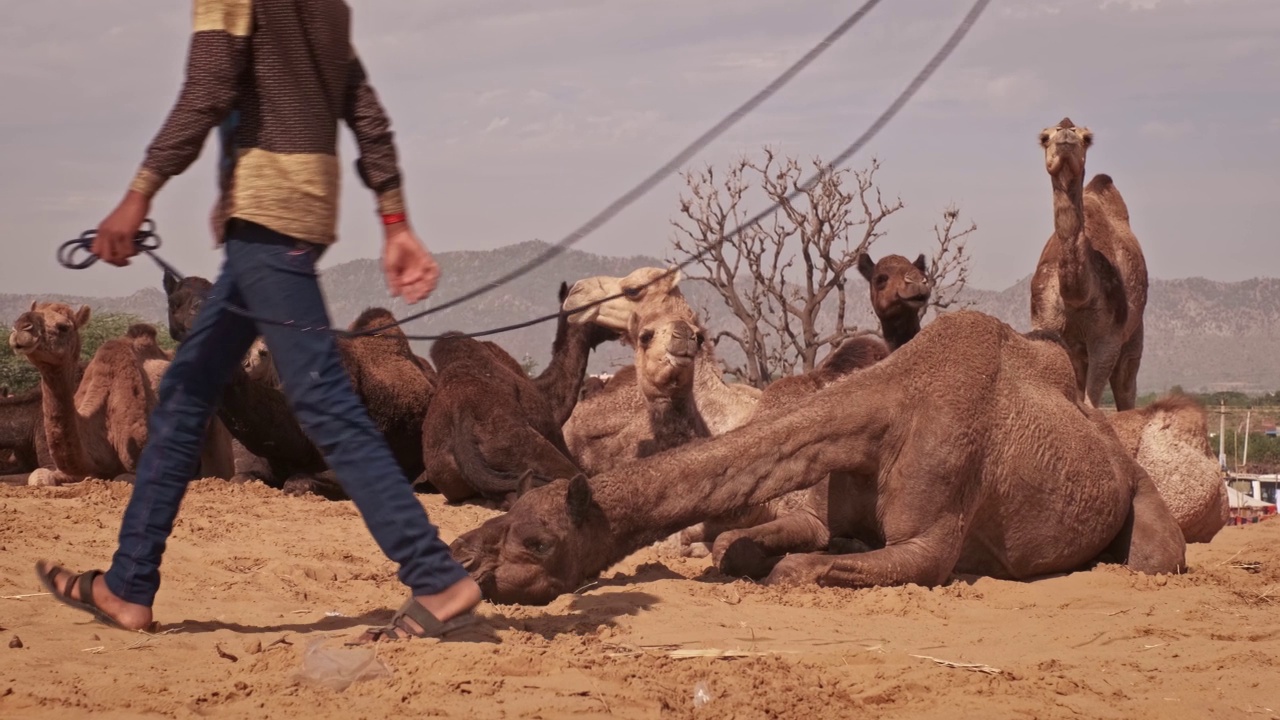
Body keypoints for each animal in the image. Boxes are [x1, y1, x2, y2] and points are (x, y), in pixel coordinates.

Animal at [445, 310, 1182, 604]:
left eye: (536, 542)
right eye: (497, 526)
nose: (468, 562)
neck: (886, 409)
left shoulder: (932, 528)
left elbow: (812, 568)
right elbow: (751, 546)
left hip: (1141, 497)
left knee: (1154, 555)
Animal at [1029, 117, 1152, 409]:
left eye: (1086, 138)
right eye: (1044, 138)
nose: (1065, 130)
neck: (1077, 295)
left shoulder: (1108, 338)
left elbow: (1090, 402)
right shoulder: (1045, 322)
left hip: (1133, 336)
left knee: (1126, 386)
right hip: (1078, 349)